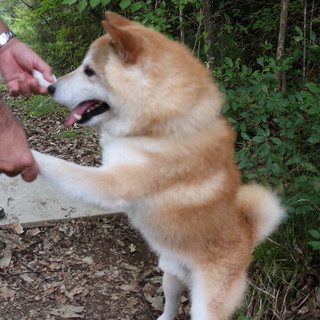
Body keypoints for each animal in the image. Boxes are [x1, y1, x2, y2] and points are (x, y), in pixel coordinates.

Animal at [31, 11, 282, 318]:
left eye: (89, 71)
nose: (51, 87)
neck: (161, 128)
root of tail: (248, 237)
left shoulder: (112, 184)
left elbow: (57, 165)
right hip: (170, 275)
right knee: (171, 306)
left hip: (206, 306)